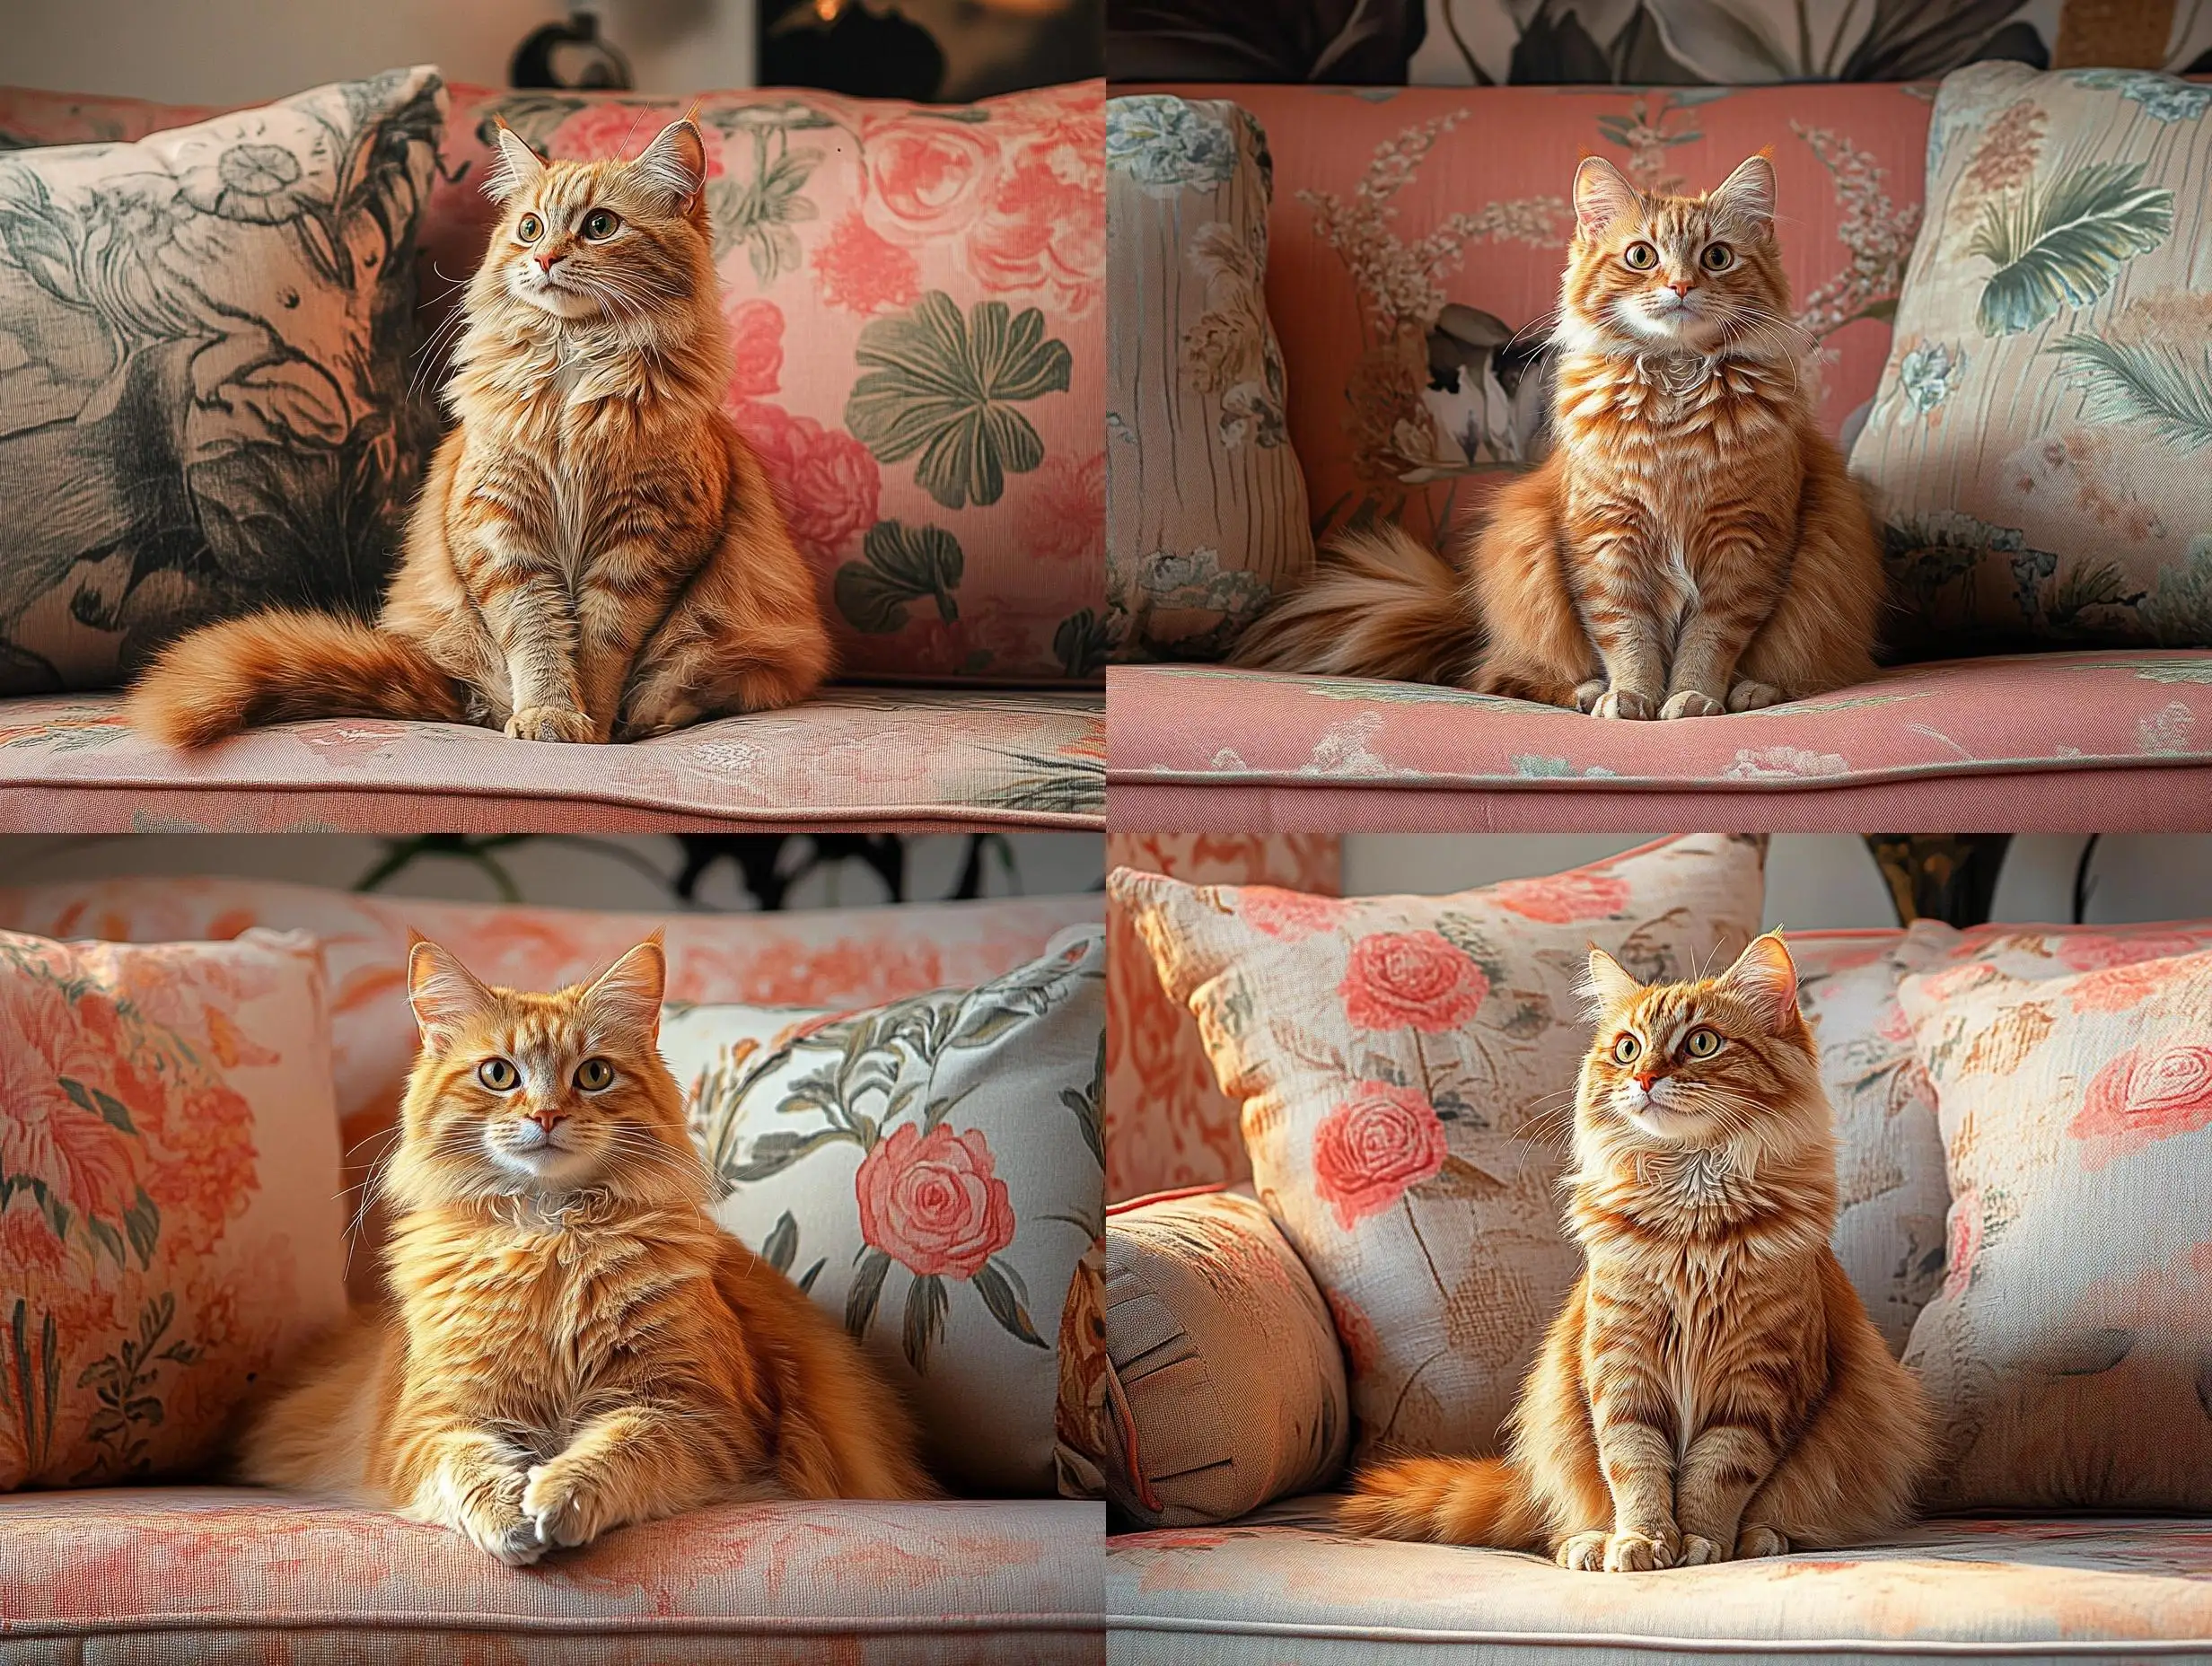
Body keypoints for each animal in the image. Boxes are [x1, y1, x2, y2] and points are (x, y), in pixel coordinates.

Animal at [134, 117, 831, 739]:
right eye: (529, 228)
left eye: (599, 226)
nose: (545, 258)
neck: (572, 369)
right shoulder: (500, 529)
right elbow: (537, 636)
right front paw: (549, 716)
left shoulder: (647, 540)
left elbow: (602, 643)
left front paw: (592, 725)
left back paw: (655, 718)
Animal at [237, 929, 928, 1557]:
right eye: (499, 1074)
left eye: (594, 1074)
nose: (546, 1115)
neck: (552, 1237)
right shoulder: (430, 1425)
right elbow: (467, 1467)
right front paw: (508, 1518)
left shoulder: (701, 1417)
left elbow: (621, 1449)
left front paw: (558, 1497)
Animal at [1247, 145, 1884, 712]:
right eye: (1642, 256)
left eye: (1717, 258)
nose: (1681, 286)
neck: (1676, 385)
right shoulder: (1605, 537)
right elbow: (1626, 634)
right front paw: (1632, 697)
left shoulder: (1746, 542)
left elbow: (1711, 638)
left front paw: (1693, 698)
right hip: (1524, 555)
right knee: (1502, 675)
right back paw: (1585, 692)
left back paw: (1752, 691)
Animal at [1336, 929, 1928, 1566]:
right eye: (1627, 1049)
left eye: (1701, 1043)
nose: (1643, 1079)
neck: (1693, 1218)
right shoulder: (1621, 1364)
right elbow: (1634, 1465)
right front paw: (1643, 1540)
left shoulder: (1760, 1377)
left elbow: (1718, 1471)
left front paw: (1700, 1540)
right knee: (1571, 1518)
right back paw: (1594, 1543)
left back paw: (1759, 1537)